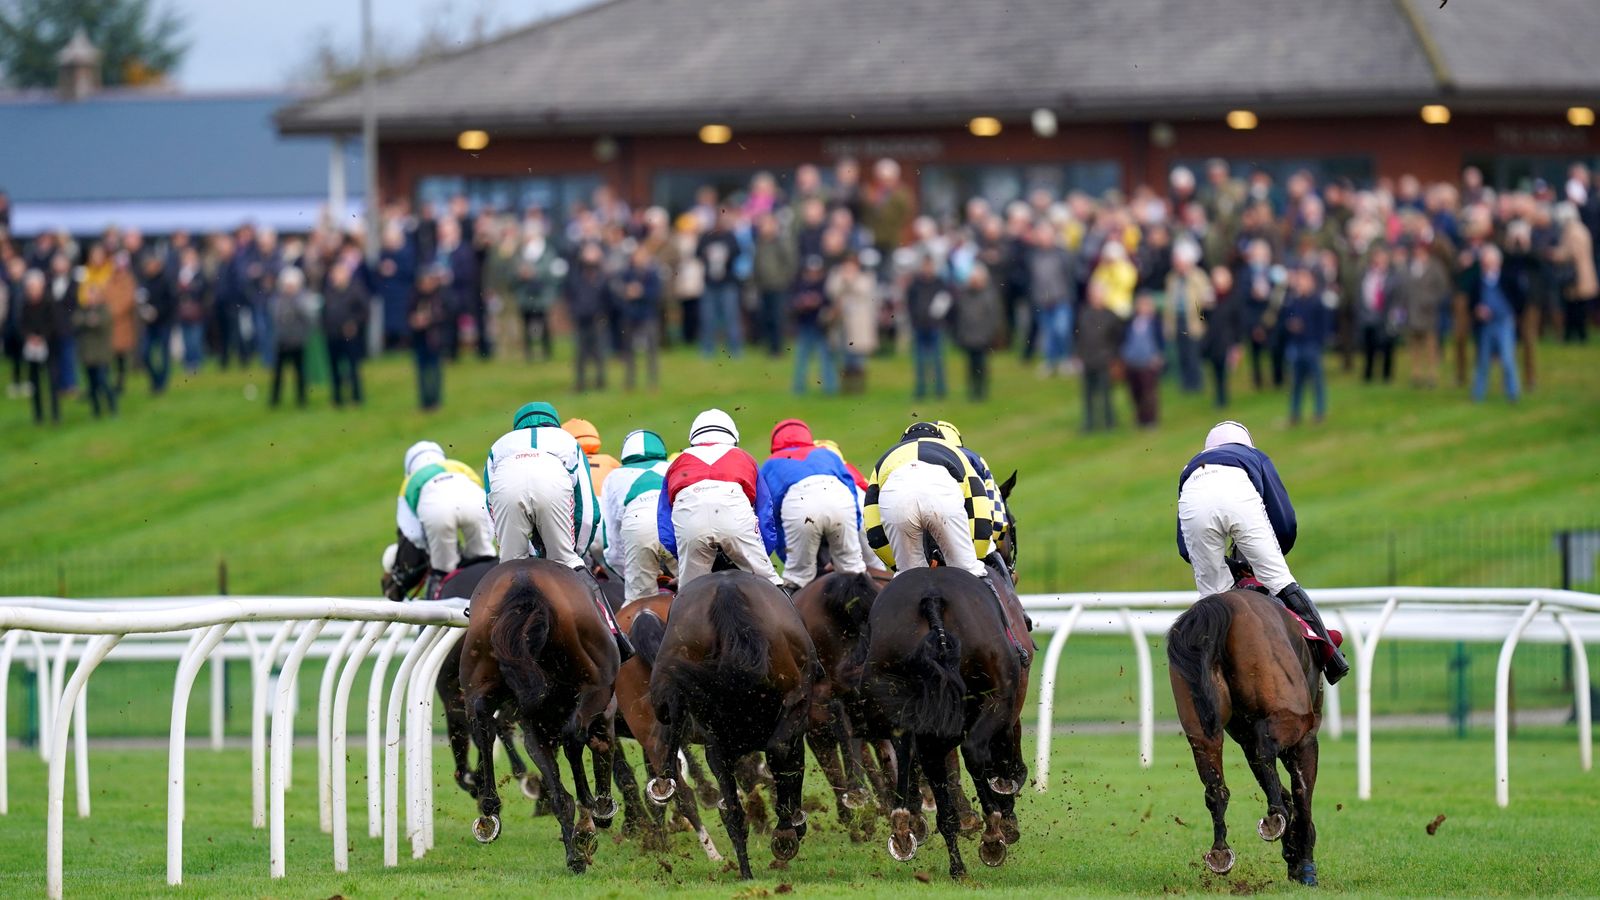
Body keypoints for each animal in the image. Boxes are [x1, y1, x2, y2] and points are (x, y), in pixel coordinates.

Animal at [457, 557, 624, 871]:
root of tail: (525, 583)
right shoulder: (604, 709)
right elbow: (601, 747)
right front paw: (599, 813)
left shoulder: (535, 727)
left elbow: (557, 786)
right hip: (593, 683)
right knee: (574, 737)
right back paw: (587, 816)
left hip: (479, 668)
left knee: (482, 722)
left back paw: (490, 812)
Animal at [649, 573, 825, 877]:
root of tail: (726, 588)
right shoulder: (796, 713)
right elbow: (789, 762)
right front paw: (790, 828)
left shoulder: (717, 742)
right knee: (777, 753)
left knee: (733, 808)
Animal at [1164, 582, 1324, 883]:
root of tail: (1216, 610)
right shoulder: (1306, 737)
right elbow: (1302, 796)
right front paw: (1304, 862)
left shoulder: (1245, 740)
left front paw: (1293, 853)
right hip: (1290, 717)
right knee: (1267, 750)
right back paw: (1274, 819)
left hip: (1200, 728)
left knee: (1215, 788)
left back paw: (1220, 852)